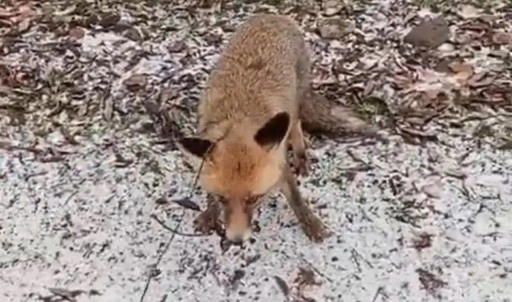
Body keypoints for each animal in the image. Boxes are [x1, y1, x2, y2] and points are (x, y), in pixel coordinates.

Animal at [176, 14, 328, 245]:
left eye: (255, 198)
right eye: (222, 198)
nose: (237, 240)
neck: (238, 120)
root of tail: (272, 15)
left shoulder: (279, 164)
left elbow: (295, 198)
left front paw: (310, 222)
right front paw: (210, 213)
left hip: (294, 104)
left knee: (296, 126)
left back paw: (301, 155)